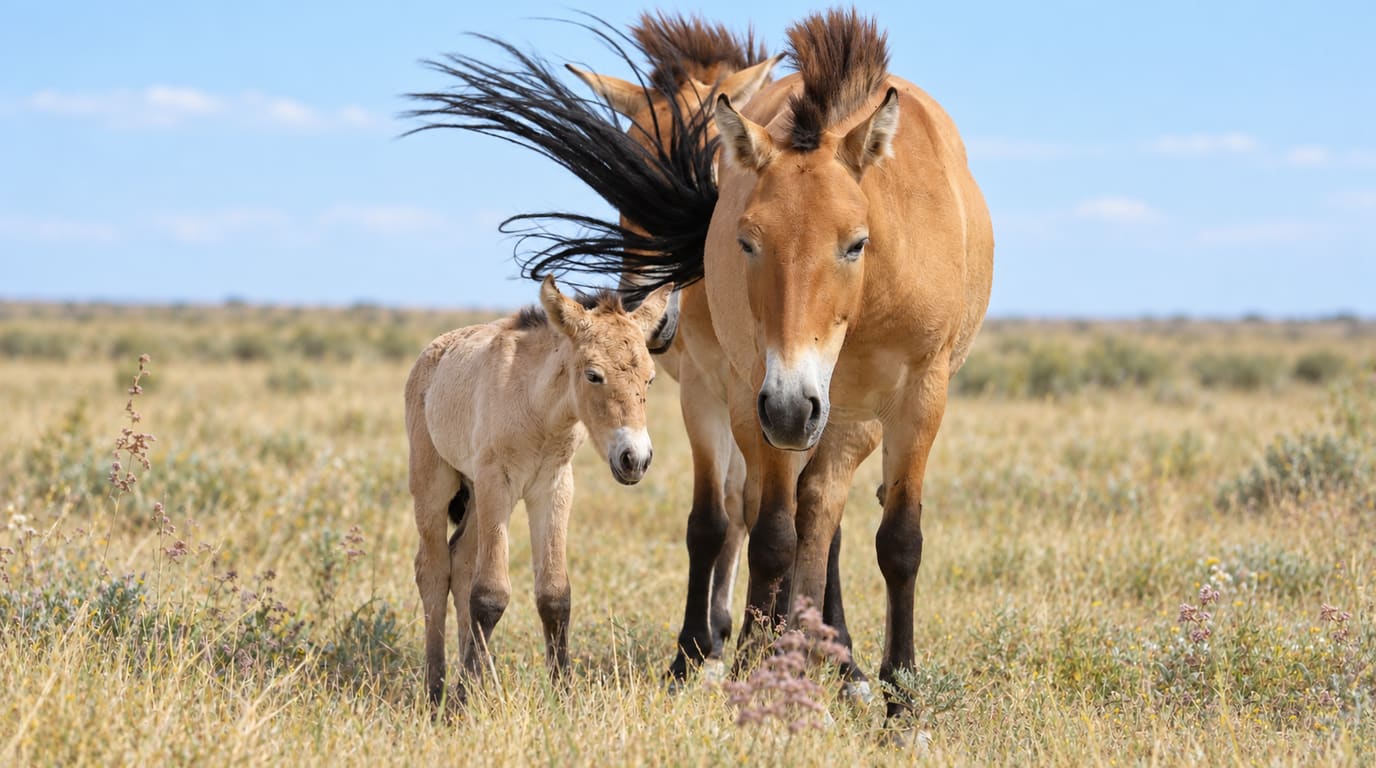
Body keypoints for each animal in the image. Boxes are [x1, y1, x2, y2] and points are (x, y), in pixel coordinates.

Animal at [406, 275, 673, 704]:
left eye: (649, 378)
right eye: (593, 375)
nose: (635, 458)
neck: (539, 410)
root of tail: (432, 352)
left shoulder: (554, 486)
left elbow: (554, 594)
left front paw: (562, 694)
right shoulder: (497, 482)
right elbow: (490, 594)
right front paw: (460, 703)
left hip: (477, 496)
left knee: (461, 561)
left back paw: (481, 681)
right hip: (434, 483)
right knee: (432, 569)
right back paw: (436, 691)